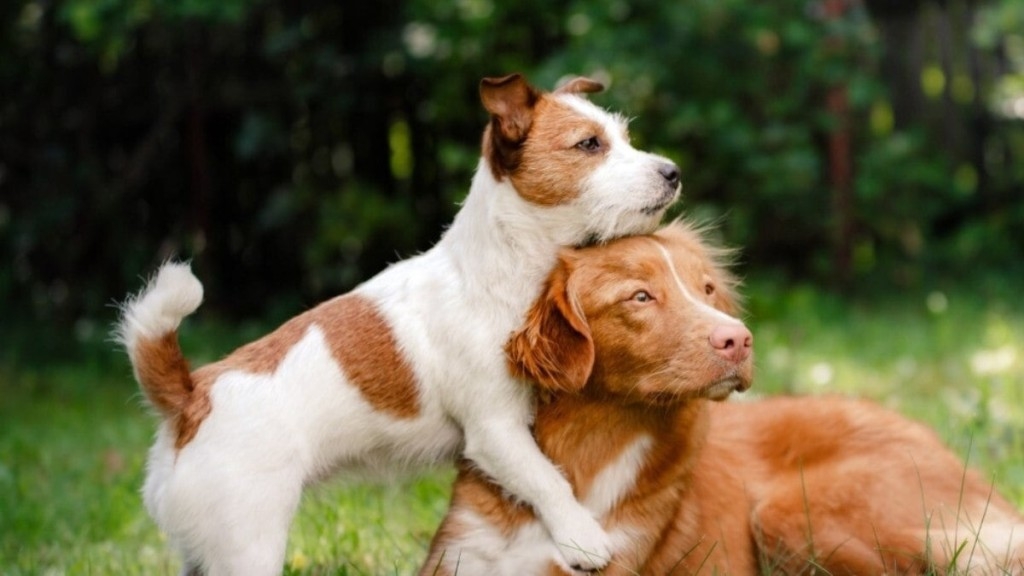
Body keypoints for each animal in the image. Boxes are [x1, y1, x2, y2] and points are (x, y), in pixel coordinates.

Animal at [116, 72, 679, 573]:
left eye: (625, 138)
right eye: (589, 145)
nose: (672, 171)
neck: (501, 267)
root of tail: (191, 396)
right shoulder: (495, 428)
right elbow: (546, 479)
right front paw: (583, 538)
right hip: (248, 543)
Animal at [417, 220, 1024, 573]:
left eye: (706, 289)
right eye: (640, 297)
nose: (739, 339)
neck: (590, 446)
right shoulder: (460, 555)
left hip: (792, 512)